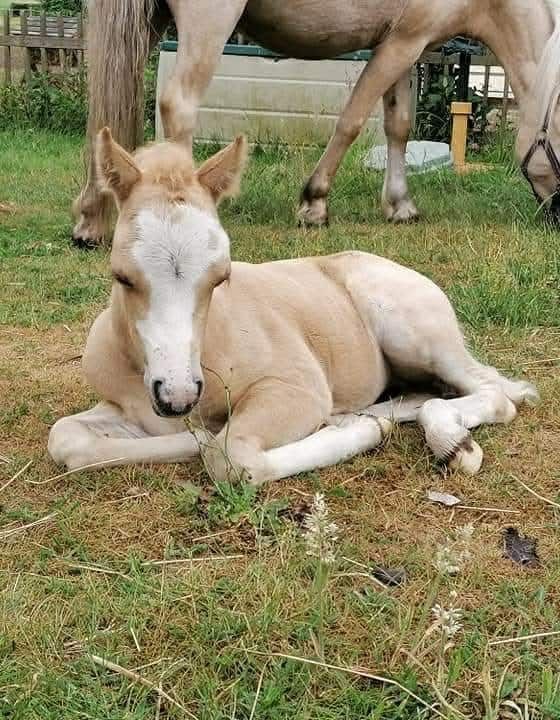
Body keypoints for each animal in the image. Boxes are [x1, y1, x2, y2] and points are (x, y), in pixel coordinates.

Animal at [49, 129, 538, 483]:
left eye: (220, 277)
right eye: (122, 277)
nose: (177, 396)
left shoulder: (298, 388)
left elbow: (231, 457)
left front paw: (360, 432)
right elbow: (66, 439)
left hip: (414, 335)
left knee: (494, 393)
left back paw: (451, 443)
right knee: (430, 394)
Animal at [71, 0, 560, 248]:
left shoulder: (406, 45)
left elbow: (399, 125)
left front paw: (400, 205)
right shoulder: (401, 44)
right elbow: (352, 121)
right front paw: (314, 203)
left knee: (105, 113)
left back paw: (91, 221)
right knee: (179, 105)